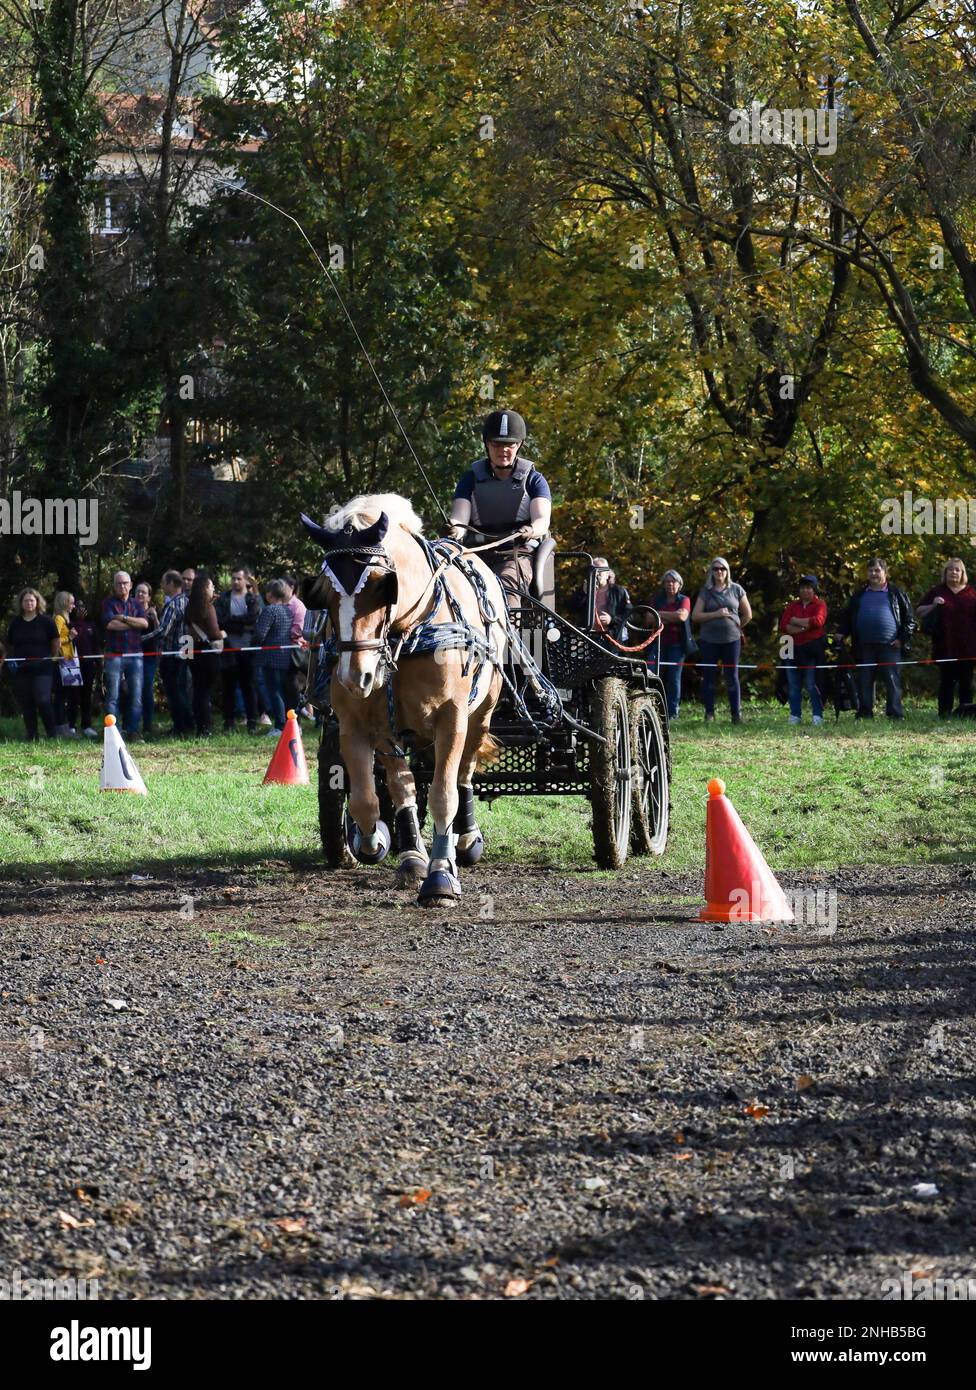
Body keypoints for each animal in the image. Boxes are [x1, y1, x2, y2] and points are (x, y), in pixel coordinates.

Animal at [302, 494, 507, 905]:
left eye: (381, 587)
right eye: (326, 596)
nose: (354, 677)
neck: (407, 635)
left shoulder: (452, 718)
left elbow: (444, 793)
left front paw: (440, 876)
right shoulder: (367, 724)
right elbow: (377, 795)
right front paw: (393, 849)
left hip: (482, 713)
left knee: (464, 773)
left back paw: (465, 839)